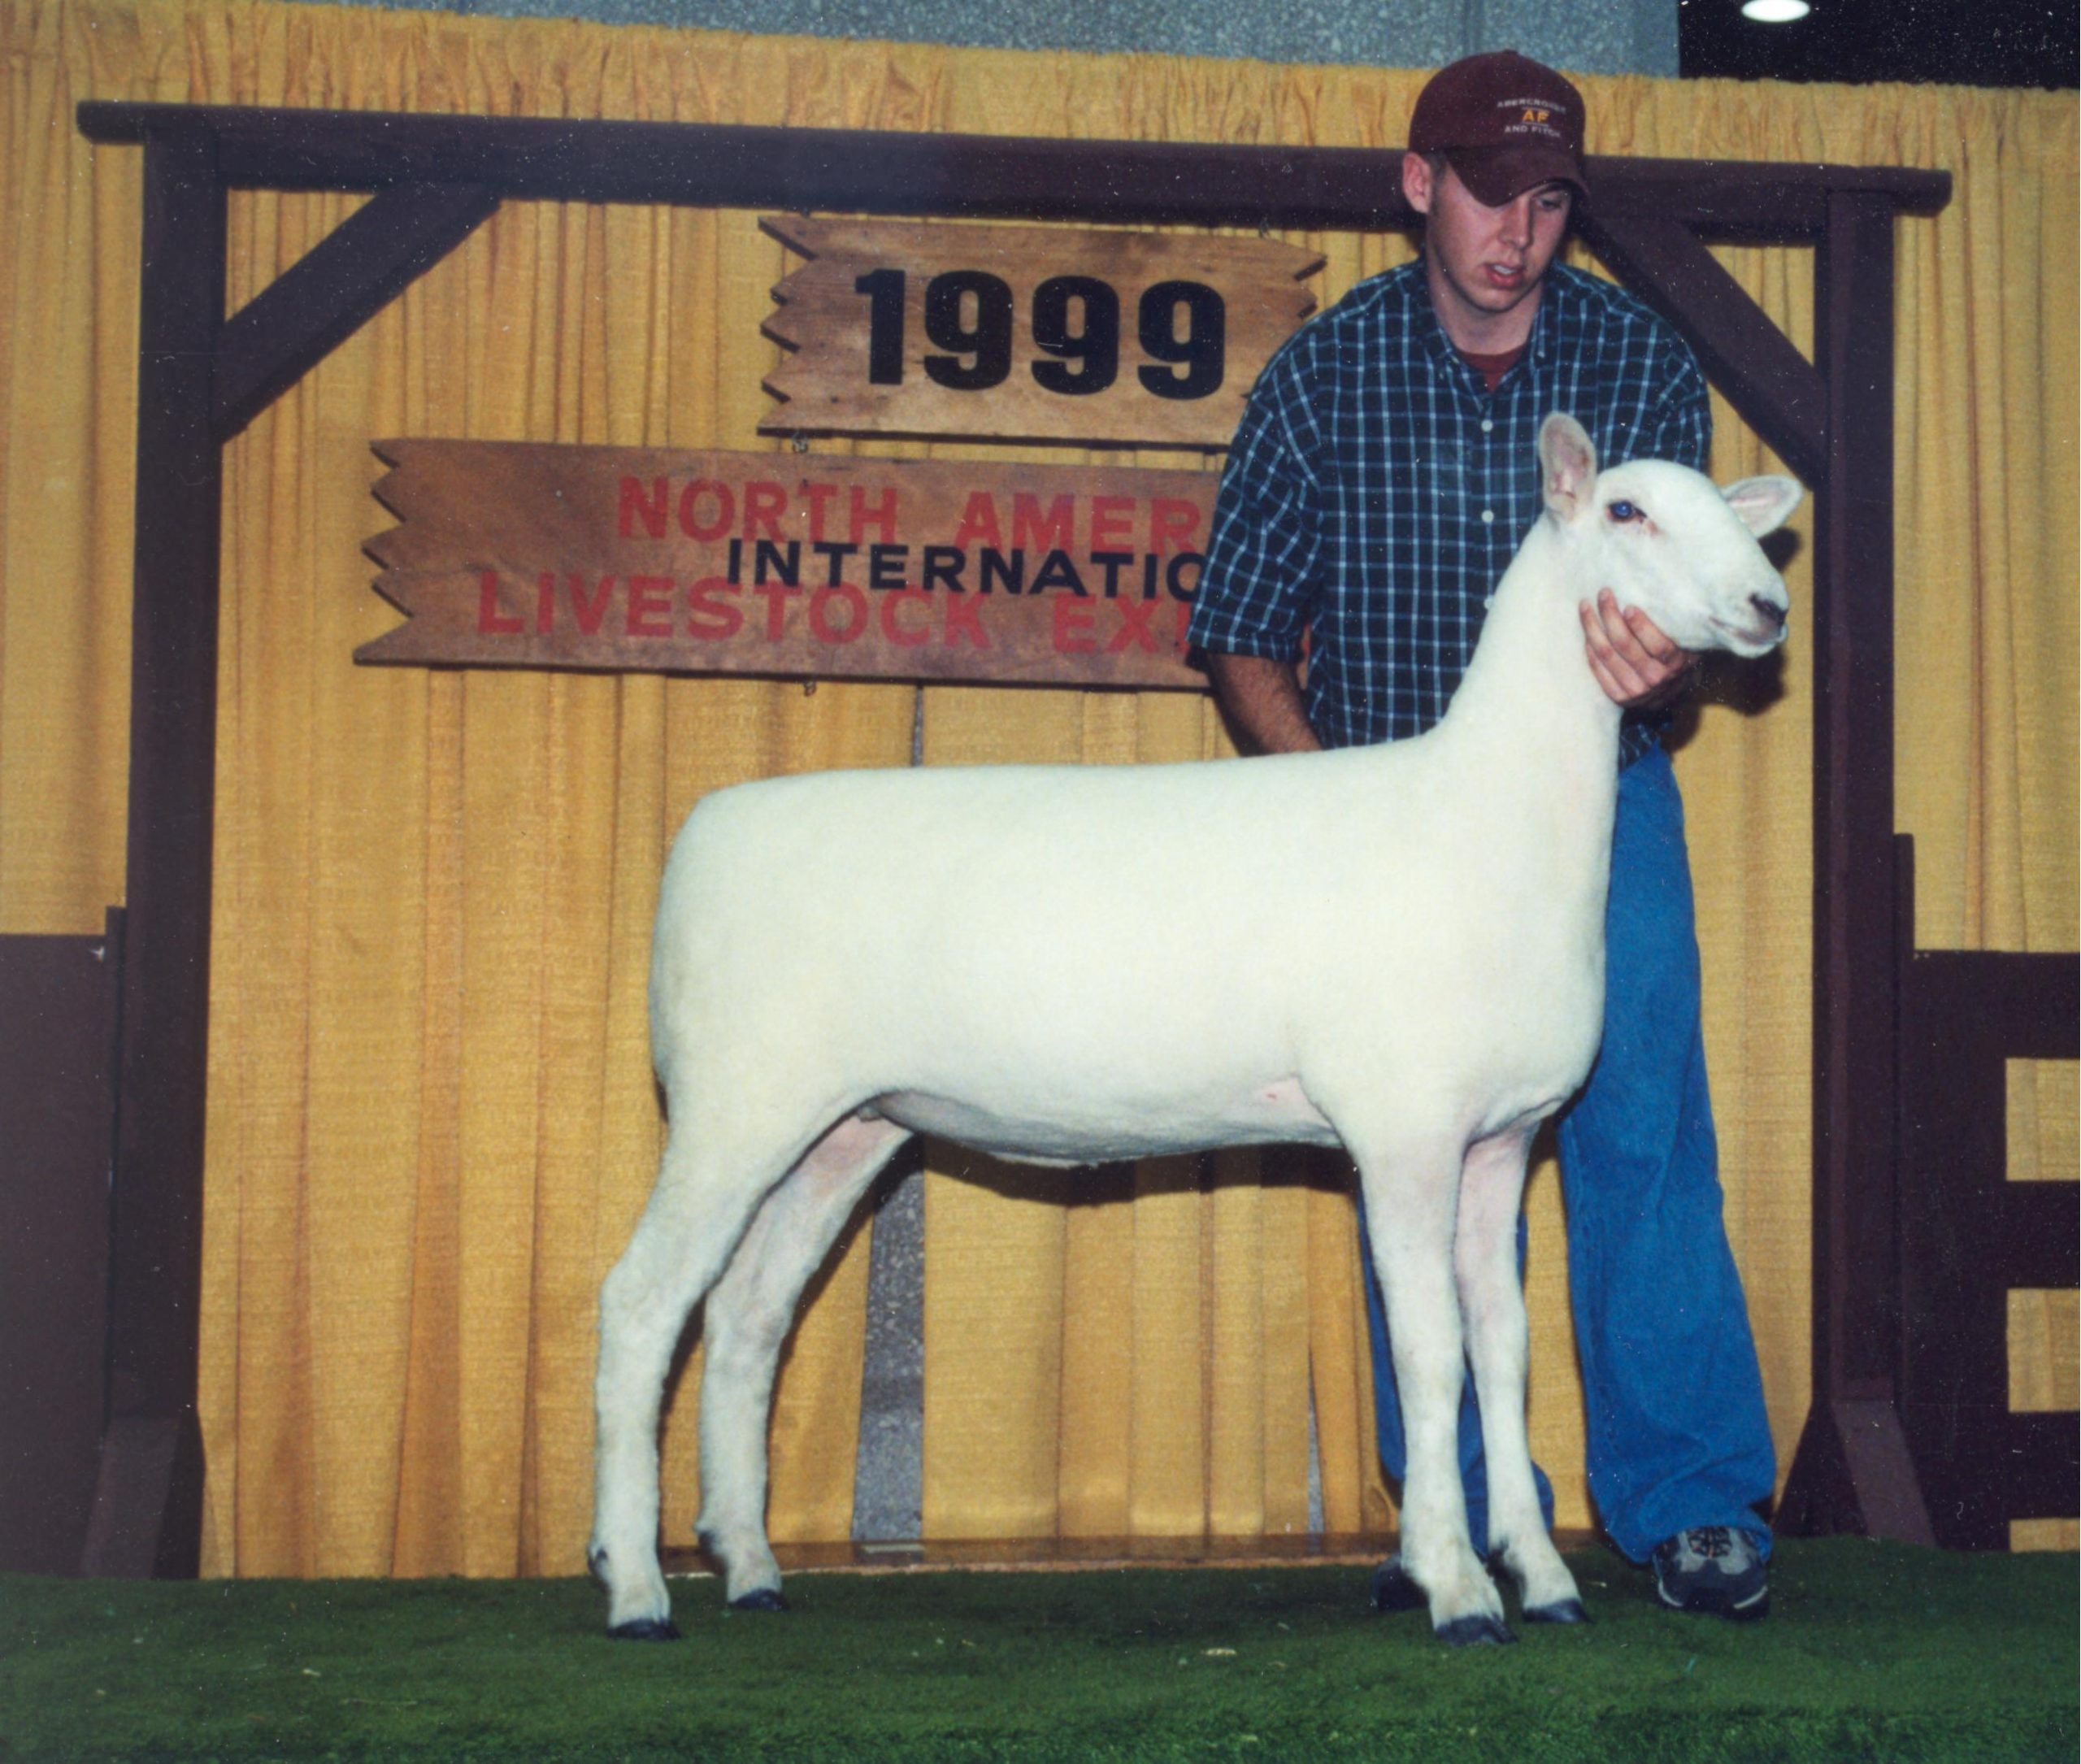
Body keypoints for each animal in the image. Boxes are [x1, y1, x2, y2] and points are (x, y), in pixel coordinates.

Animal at [587, 412, 1801, 1647]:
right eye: (1626, 511)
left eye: (1728, 512)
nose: (1767, 605)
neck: (1486, 816)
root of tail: (704, 832)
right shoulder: (1405, 1131)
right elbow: (1433, 1357)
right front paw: (1456, 1586)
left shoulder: (1502, 1137)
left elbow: (1504, 1354)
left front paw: (1540, 1575)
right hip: (735, 1097)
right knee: (642, 1305)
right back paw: (635, 1586)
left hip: (844, 1125)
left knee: (744, 1314)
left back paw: (747, 1563)